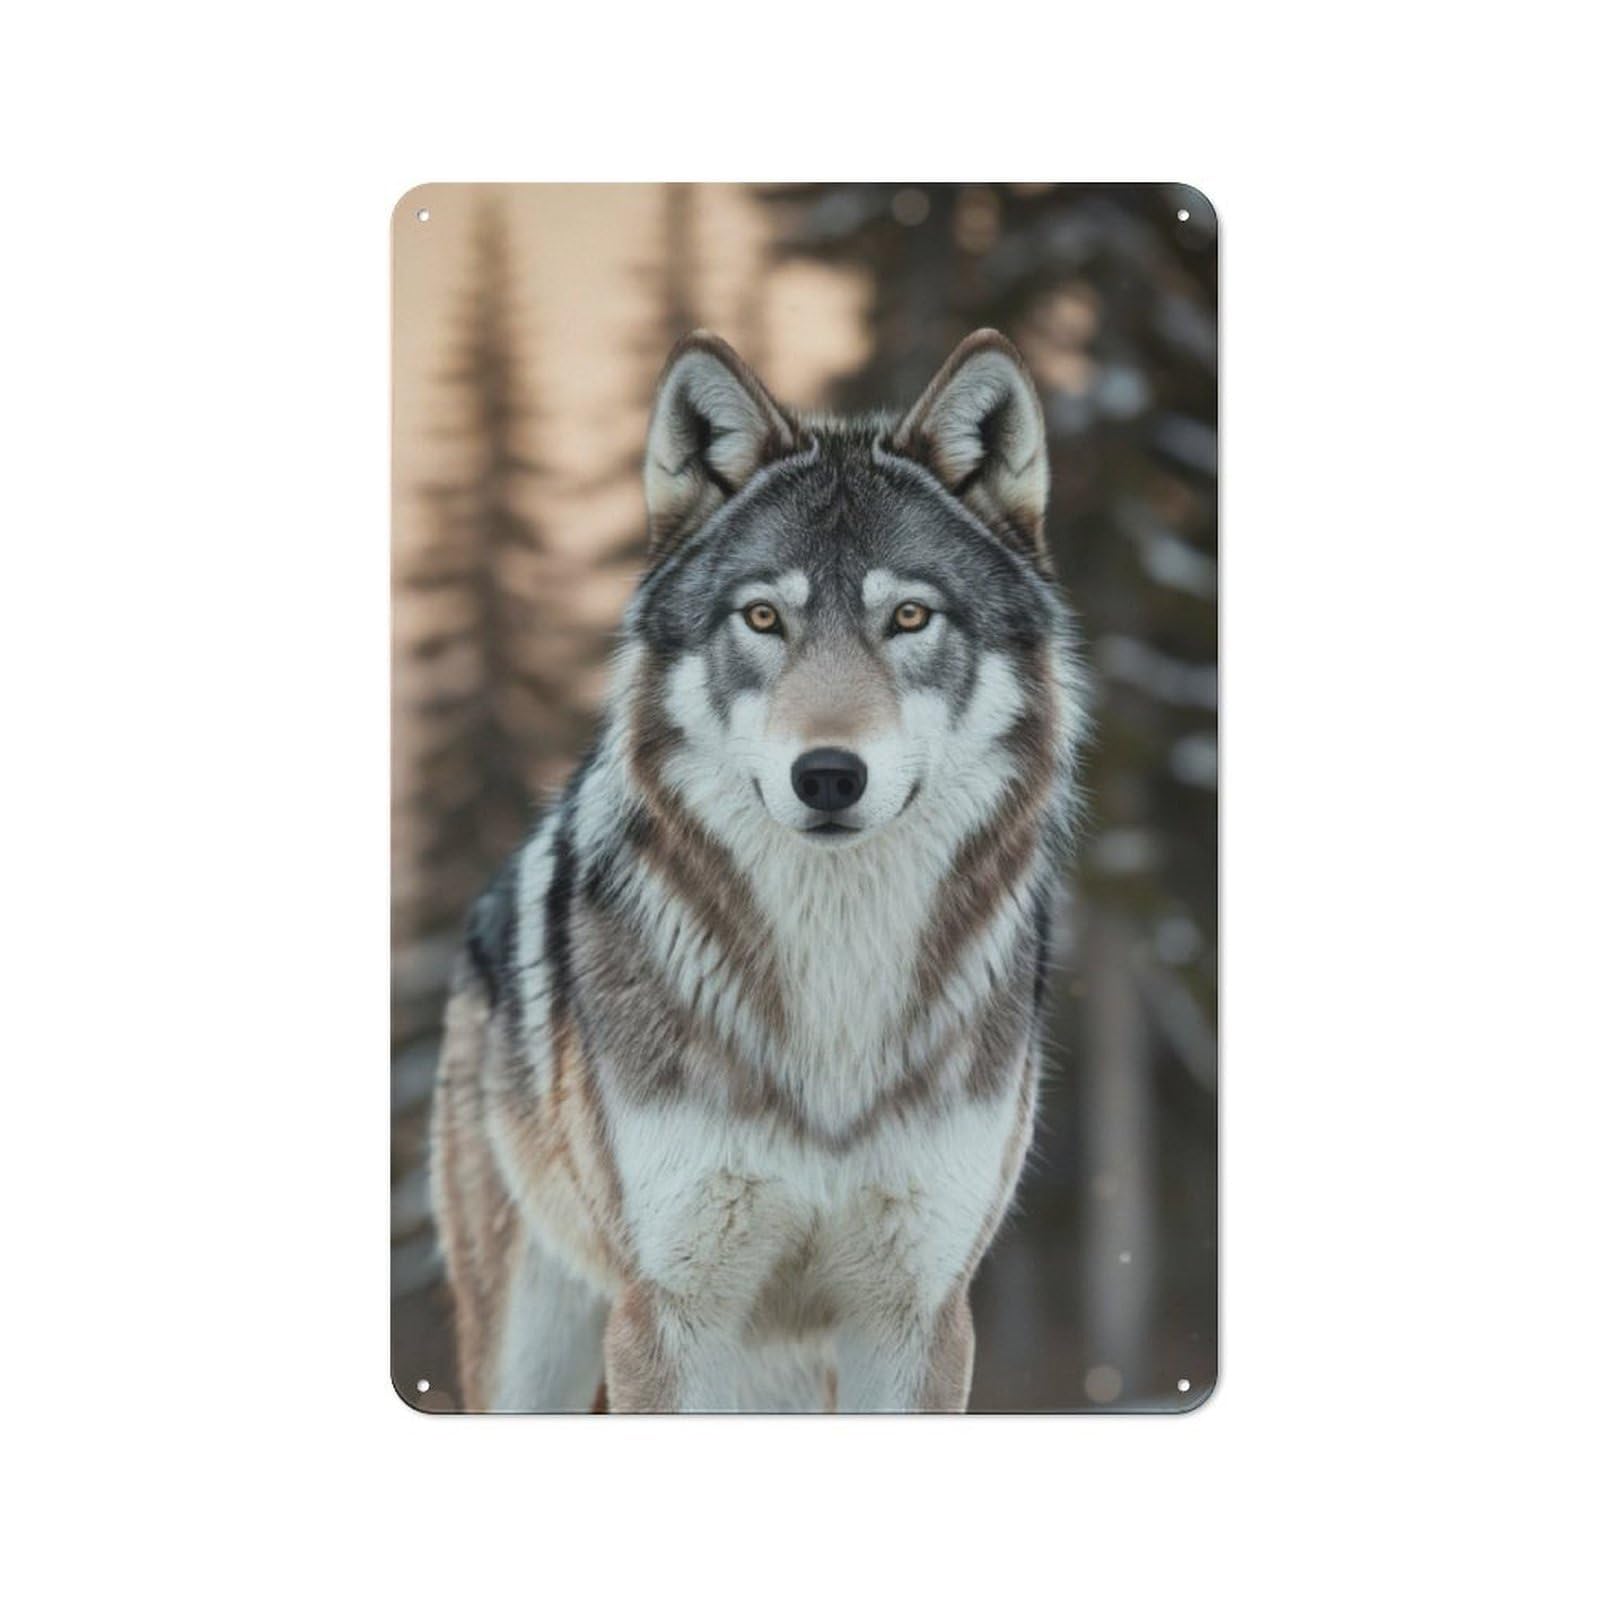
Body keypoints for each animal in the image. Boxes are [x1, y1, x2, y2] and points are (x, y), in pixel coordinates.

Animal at [429, 329, 1088, 1412]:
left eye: (911, 617)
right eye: (764, 619)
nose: (826, 774)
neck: (834, 982)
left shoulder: (918, 1319)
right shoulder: (669, 1319)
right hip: (541, 1345)